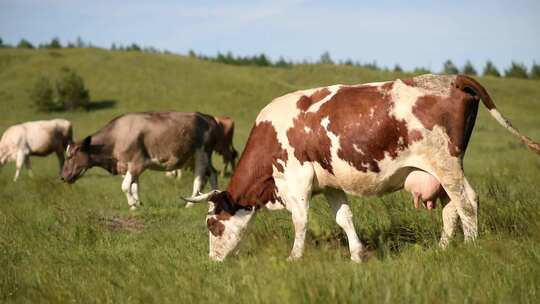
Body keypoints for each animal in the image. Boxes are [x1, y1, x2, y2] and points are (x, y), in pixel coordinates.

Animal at [60, 111, 218, 209]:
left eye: (70, 156)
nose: (62, 177)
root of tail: (206, 117)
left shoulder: (137, 163)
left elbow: (125, 186)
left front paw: (132, 204)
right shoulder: (127, 166)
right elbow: (134, 186)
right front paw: (138, 204)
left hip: (201, 154)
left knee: (199, 179)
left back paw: (190, 204)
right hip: (194, 157)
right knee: (213, 173)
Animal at [186, 73, 540, 262]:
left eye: (212, 225)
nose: (213, 262)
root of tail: (452, 78)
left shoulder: (295, 179)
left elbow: (301, 221)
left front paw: (294, 257)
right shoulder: (330, 184)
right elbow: (344, 218)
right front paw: (358, 255)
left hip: (446, 162)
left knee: (466, 202)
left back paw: (470, 247)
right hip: (442, 170)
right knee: (452, 208)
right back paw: (441, 248)